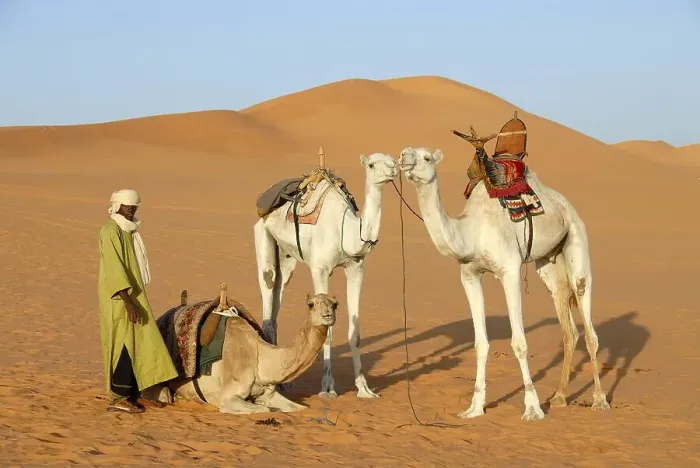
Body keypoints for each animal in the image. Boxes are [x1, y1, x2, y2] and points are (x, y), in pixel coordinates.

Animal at [149, 290, 339, 414]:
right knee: (163, 393)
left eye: (335, 305)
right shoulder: (227, 397)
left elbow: (300, 408)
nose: (328, 315)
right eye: (311, 304)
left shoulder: (269, 393)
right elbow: (264, 409)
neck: (258, 356)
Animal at [253, 151, 398, 399]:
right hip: (263, 237)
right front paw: (327, 387)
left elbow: (355, 332)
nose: (393, 171)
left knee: (277, 298)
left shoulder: (356, 269)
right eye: (371, 165)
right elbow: (327, 330)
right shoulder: (319, 270)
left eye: (391, 160)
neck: (346, 232)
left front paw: (364, 388)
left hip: (287, 258)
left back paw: (282, 382)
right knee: (268, 287)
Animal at [397, 136, 610, 422]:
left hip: (577, 239)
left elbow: (519, 342)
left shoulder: (509, 270)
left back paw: (599, 400)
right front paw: (474, 408)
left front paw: (532, 408)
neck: (472, 231)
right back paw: (559, 397)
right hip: (549, 265)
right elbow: (480, 343)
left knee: (587, 321)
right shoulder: (469, 275)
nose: (403, 156)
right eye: (407, 150)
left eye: (427, 157)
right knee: (568, 329)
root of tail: (566, 204)